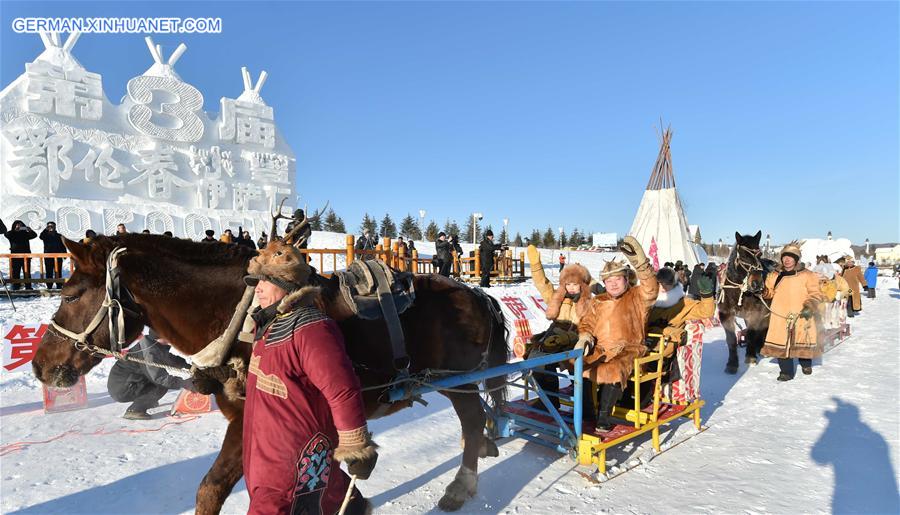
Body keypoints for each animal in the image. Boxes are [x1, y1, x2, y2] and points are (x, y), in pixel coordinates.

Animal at [33, 236, 506, 512]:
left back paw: (461, 485)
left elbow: (212, 487)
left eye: (70, 294)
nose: (39, 364)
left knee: (469, 422)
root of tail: (476, 293)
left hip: (460, 382)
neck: (239, 317)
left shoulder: (250, 417)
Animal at [716, 233, 772, 374]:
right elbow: (731, 340)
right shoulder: (726, 315)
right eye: (744, 256)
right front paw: (732, 363)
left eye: (759, 254)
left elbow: (751, 334)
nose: (757, 284)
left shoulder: (754, 314)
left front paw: (750, 357)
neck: (739, 292)